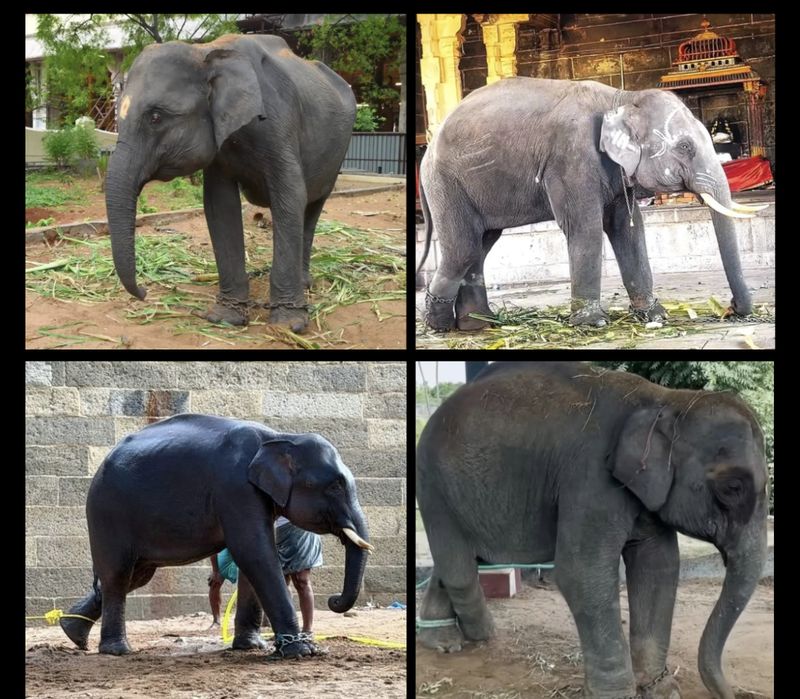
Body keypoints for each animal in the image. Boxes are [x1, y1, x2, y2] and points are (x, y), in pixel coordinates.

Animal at [59, 414, 372, 659]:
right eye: (335, 486)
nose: (333, 600)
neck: (279, 437)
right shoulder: (235, 488)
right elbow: (255, 552)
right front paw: (302, 651)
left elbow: (252, 559)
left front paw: (251, 647)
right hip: (106, 513)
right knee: (118, 574)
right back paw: (117, 650)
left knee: (134, 577)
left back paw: (72, 632)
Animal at [106, 34, 356, 333]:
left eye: (156, 117)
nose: (145, 292)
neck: (205, 51)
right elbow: (219, 205)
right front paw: (226, 318)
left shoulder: (278, 123)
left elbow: (291, 196)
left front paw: (289, 325)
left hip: (338, 153)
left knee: (313, 207)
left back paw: (305, 285)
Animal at [416, 77, 769, 331]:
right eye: (684, 147)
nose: (730, 310)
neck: (622, 99)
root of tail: (428, 149)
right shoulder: (573, 157)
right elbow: (585, 228)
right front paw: (594, 323)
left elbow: (628, 231)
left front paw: (656, 316)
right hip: (446, 184)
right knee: (464, 248)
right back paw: (440, 326)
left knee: (480, 245)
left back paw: (480, 325)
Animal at [416, 362, 769, 699]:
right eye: (732, 488)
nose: (731, 694)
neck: (666, 400)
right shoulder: (591, 477)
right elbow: (582, 573)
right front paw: (616, 694)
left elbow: (659, 567)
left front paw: (659, 690)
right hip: (434, 488)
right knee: (460, 568)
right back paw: (473, 637)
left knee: (463, 560)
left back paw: (447, 640)